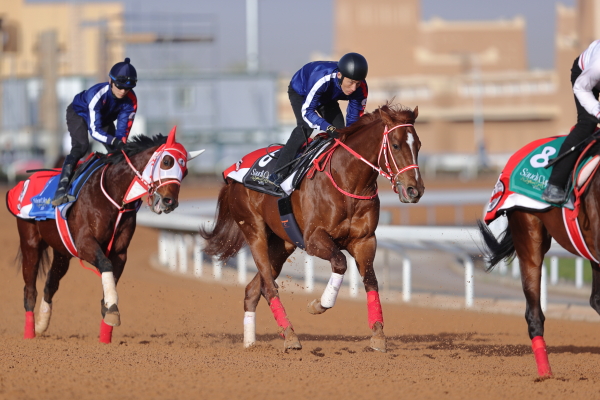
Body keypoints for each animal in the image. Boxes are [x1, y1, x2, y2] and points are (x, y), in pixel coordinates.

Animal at [11, 127, 204, 344]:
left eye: (185, 172)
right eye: (167, 161)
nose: (170, 202)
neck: (114, 197)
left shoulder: (120, 251)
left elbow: (109, 279)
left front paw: (106, 334)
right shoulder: (84, 243)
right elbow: (105, 264)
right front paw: (112, 310)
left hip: (63, 252)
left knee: (50, 284)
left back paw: (41, 325)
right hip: (30, 243)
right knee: (30, 289)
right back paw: (29, 333)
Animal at [199, 104, 424, 352]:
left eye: (419, 145)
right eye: (395, 145)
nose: (415, 190)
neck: (347, 181)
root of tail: (232, 174)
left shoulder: (365, 240)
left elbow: (371, 281)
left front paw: (378, 335)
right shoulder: (314, 239)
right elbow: (340, 262)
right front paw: (319, 304)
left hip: (282, 243)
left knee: (253, 289)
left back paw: (251, 344)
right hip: (254, 230)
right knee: (269, 286)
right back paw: (290, 336)